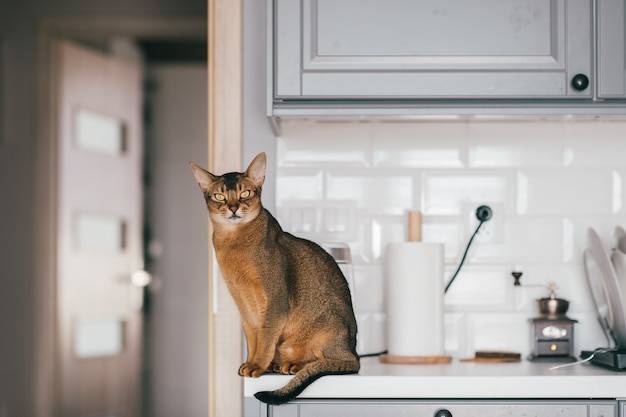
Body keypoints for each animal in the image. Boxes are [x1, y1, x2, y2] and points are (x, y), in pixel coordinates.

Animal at [188, 151, 358, 402]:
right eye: (219, 196)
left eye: (245, 193)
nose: (233, 208)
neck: (234, 245)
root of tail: (354, 350)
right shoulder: (242, 302)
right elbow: (252, 336)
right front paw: (252, 362)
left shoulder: (275, 300)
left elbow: (266, 335)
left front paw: (257, 365)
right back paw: (281, 364)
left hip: (328, 329)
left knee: (339, 362)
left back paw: (295, 365)